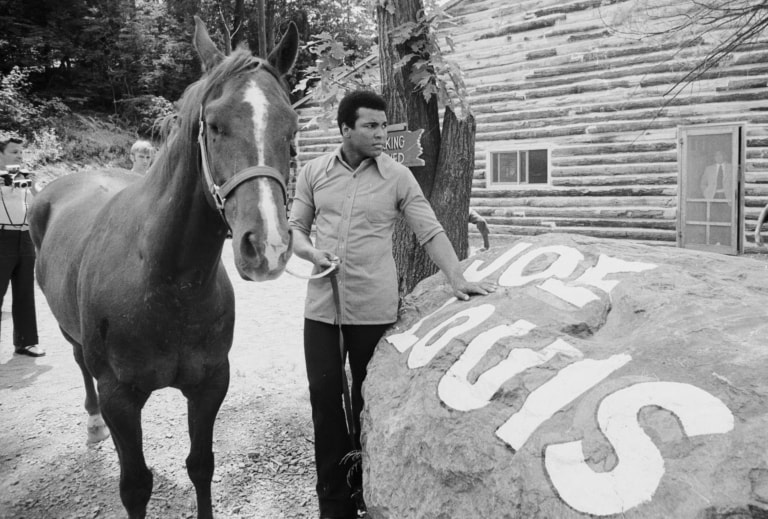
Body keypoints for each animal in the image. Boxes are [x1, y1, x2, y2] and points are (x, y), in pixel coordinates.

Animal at [27, 16, 296, 519]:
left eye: (291, 128)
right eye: (214, 125)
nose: (267, 245)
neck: (166, 282)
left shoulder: (211, 383)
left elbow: (201, 466)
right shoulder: (119, 398)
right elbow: (135, 486)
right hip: (73, 339)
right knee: (79, 364)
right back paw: (92, 425)